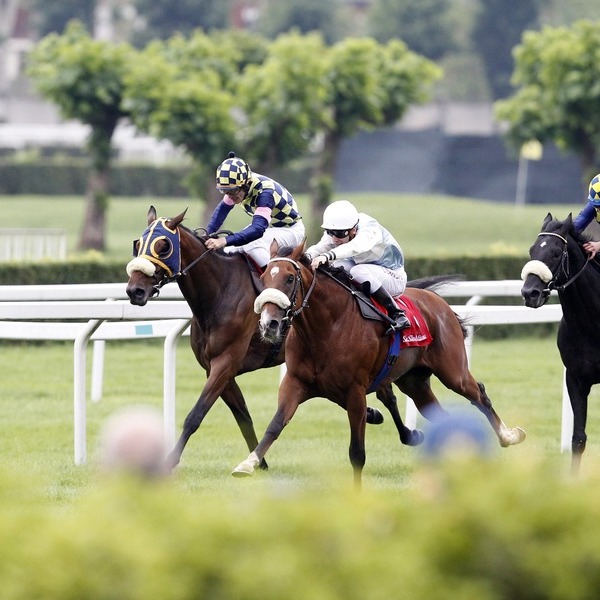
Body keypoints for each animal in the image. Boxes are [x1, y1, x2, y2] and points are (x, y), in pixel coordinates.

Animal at [125, 206, 394, 468]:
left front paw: (170, 461)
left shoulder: (225, 362)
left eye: (163, 246)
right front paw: (260, 462)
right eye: (138, 244)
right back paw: (373, 413)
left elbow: (196, 414)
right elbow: (243, 415)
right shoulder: (216, 367)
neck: (220, 291)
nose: (134, 290)